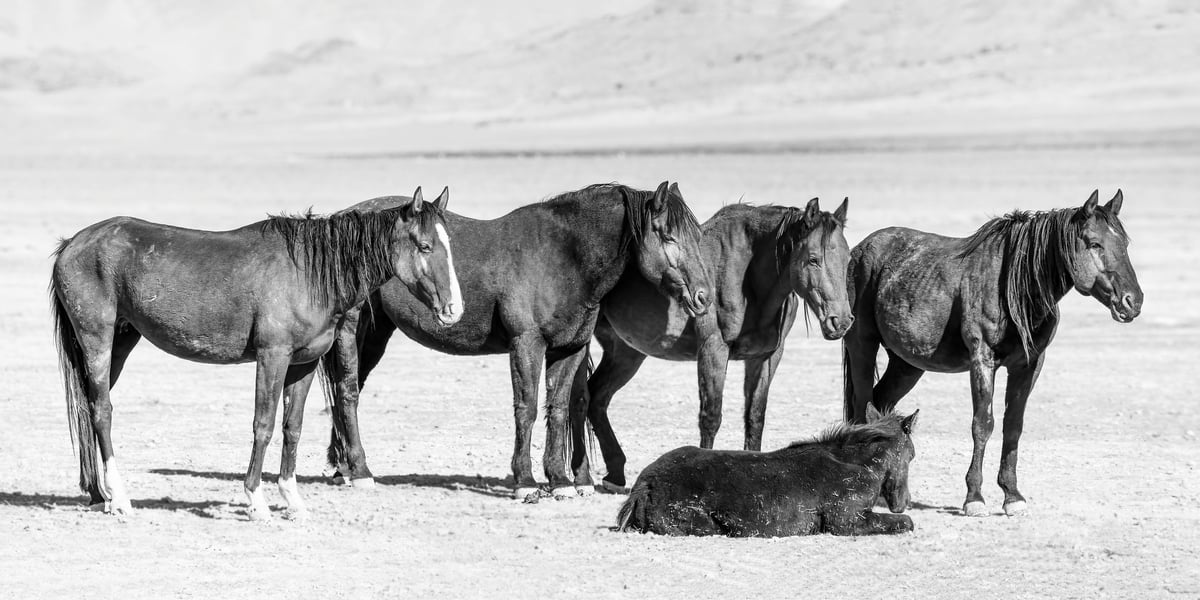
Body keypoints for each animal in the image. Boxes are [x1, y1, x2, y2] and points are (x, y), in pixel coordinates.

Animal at [50, 188, 461, 520]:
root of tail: (72, 243)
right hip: (98, 341)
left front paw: (293, 501)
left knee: (88, 409)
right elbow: (263, 426)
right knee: (102, 412)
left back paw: (97, 494)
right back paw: (119, 498)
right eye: (425, 246)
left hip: (120, 341)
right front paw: (256, 500)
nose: (453, 310)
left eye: (449, 246)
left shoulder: (304, 363)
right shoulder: (272, 357)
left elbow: (292, 428)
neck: (308, 273)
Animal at [321, 182, 713, 500]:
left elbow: (560, 408)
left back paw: (342, 466)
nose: (703, 297)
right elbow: (527, 408)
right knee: (347, 391)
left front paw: (561, 481)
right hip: (352, 331)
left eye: (697, 237)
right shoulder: (527, 344)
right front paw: (525, 481)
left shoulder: (571, 348)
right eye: (668, 236)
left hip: (375, 335)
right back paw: (360, 471)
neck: (563, 256)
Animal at [570, 197, 852, 493]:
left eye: (847, 259)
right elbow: (711, 417)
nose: (841, 321)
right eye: (813, 259)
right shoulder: (713, 349)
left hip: (626, 353)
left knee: (597, 398)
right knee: (577, 399)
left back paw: (614, 474)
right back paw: (581, 477)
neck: (748, 279)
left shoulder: (766, 358)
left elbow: (755, 418)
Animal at [616, 407, 918, 537]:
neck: (854, 463)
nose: (904, 502)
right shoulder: (847, 522)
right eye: (912, 455)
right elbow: (907, 523)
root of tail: (645, 484)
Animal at [843, 190, 1142, 517]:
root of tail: (860, 250)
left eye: (1124, 243)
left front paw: (1012, 496)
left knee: (881, 402)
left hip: (907, 364)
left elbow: (1013, 425)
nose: (1133, 301)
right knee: (862, 407)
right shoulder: (982, 361)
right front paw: (974, 498)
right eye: (1094, 243)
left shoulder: (1028, 365)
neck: (1013, 288)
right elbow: (983, 424)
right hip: (862, 346)